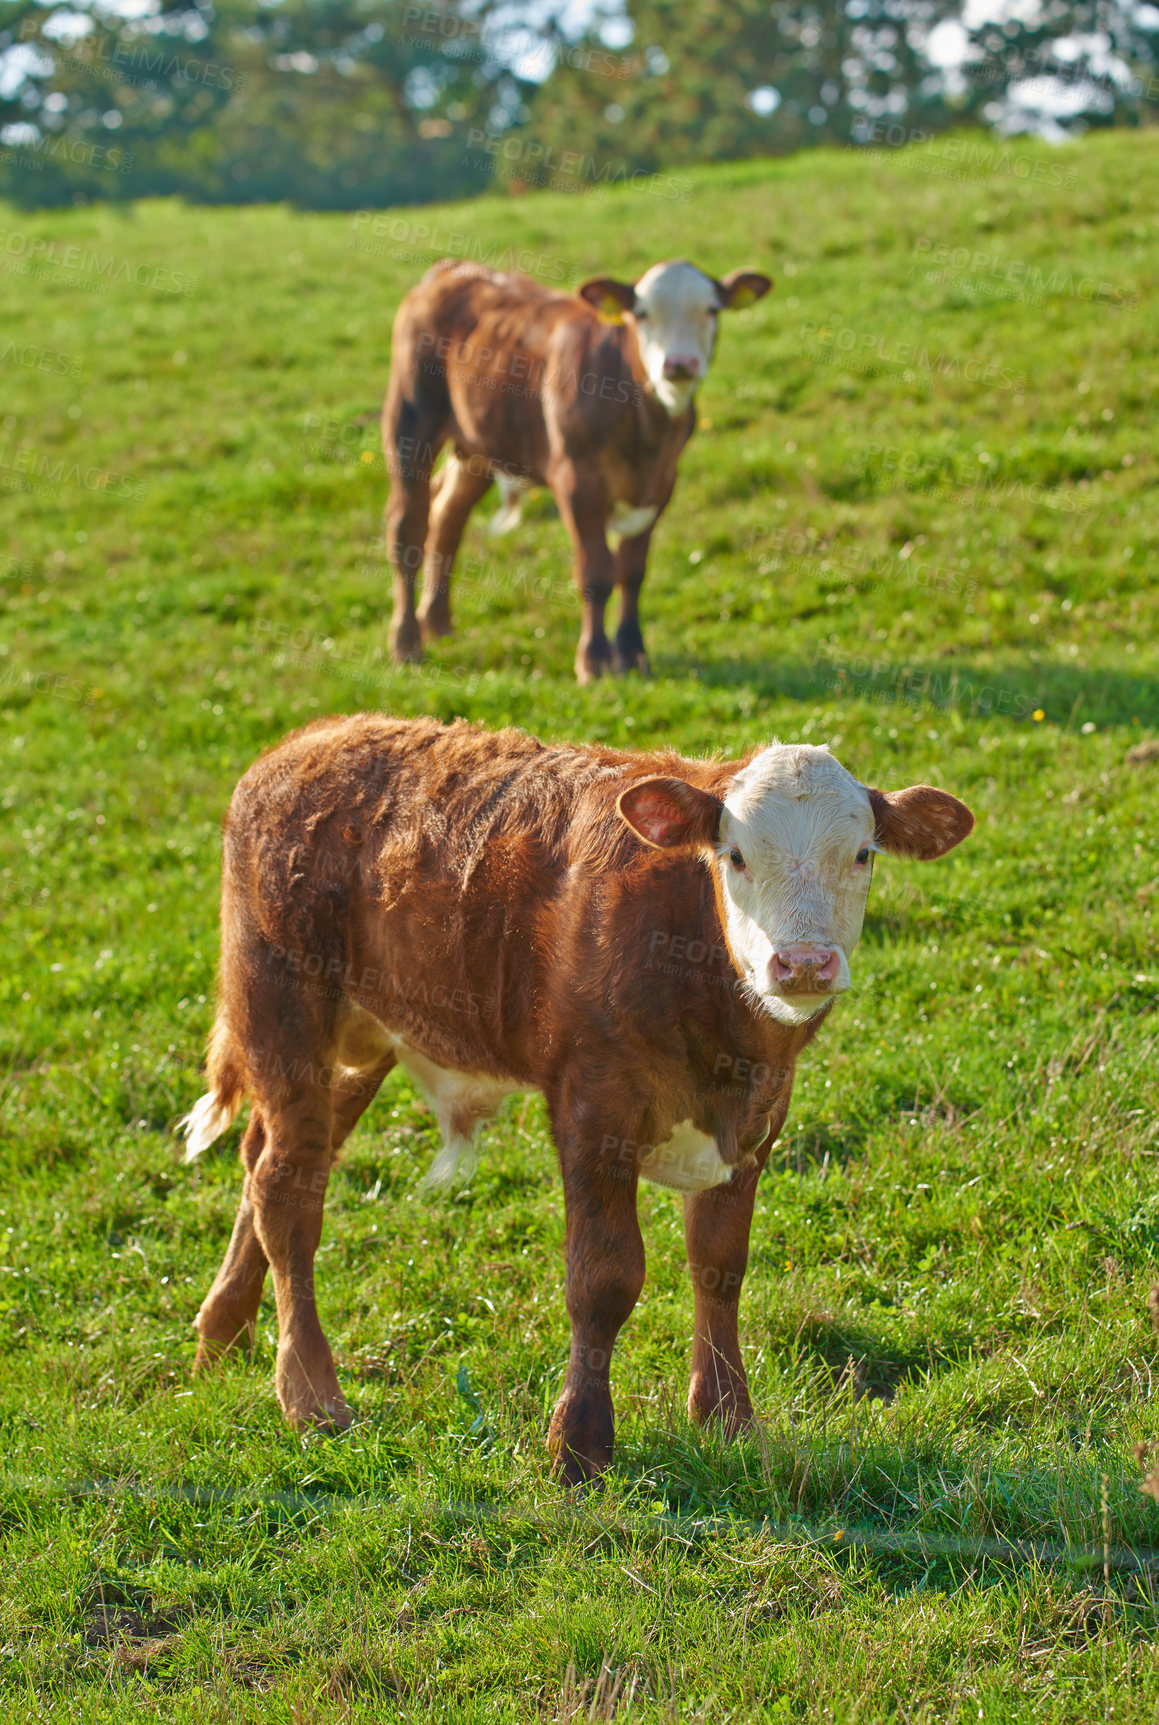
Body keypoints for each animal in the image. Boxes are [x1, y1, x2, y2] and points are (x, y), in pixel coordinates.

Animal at [181, 714, 972, 1483]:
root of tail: (305, 741)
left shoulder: (758, 1119)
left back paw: (224, 1329)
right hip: (284, 1009)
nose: (803, 962)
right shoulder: (594, 1108)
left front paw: (727, 1417)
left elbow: (720, 1263)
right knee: (287, 1194)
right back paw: (311, 1396)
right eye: (736, 855)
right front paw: (579, 1443)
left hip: (362, 1039)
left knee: (271, 1160)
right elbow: (604, 1276)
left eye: (863, 853)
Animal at [384, 258, 772, 683]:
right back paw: (406, 644)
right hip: (410, 422)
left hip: (479, 443)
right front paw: (594, 660)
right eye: (641, 314)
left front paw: (633, 654)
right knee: (407, 528)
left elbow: (633, 570)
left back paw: (438, 625)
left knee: (448, 517)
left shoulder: (661, 483)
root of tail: (453, 269)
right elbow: (596, 571)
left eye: (711, 309)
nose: (680, 364)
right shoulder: (577, 481)